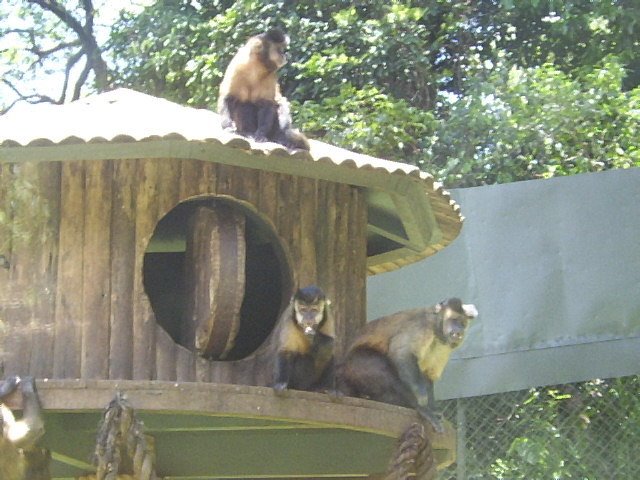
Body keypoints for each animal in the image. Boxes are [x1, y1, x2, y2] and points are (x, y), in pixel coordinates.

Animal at [338, 298, 478, 434]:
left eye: (462, 323)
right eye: (454, 320)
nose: (458, 330)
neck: (436, 330)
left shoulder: (445, 345)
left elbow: (428, 373)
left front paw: (432, 407)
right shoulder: (422, 326)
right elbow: (401, 353)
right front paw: (421, 401)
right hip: (353, 368)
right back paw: (414, 405)